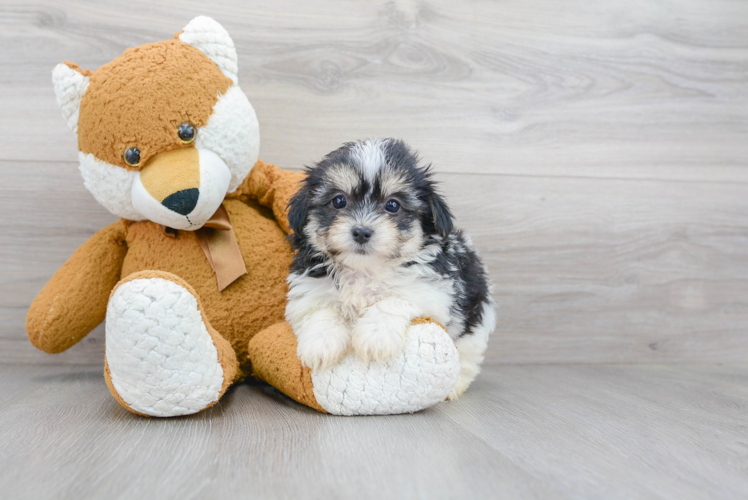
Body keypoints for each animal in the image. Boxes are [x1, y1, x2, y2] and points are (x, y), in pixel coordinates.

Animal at [284, 138, 494, 398]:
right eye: (339, 201)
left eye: (393, 205)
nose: (361, 231)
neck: (365, 269)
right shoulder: (308, 288)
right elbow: (322, 310)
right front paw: (321, 343)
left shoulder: (432, 289)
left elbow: (393, 299)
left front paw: (375, 336)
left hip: (475, 323)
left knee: (466, 357)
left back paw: (453, 388)